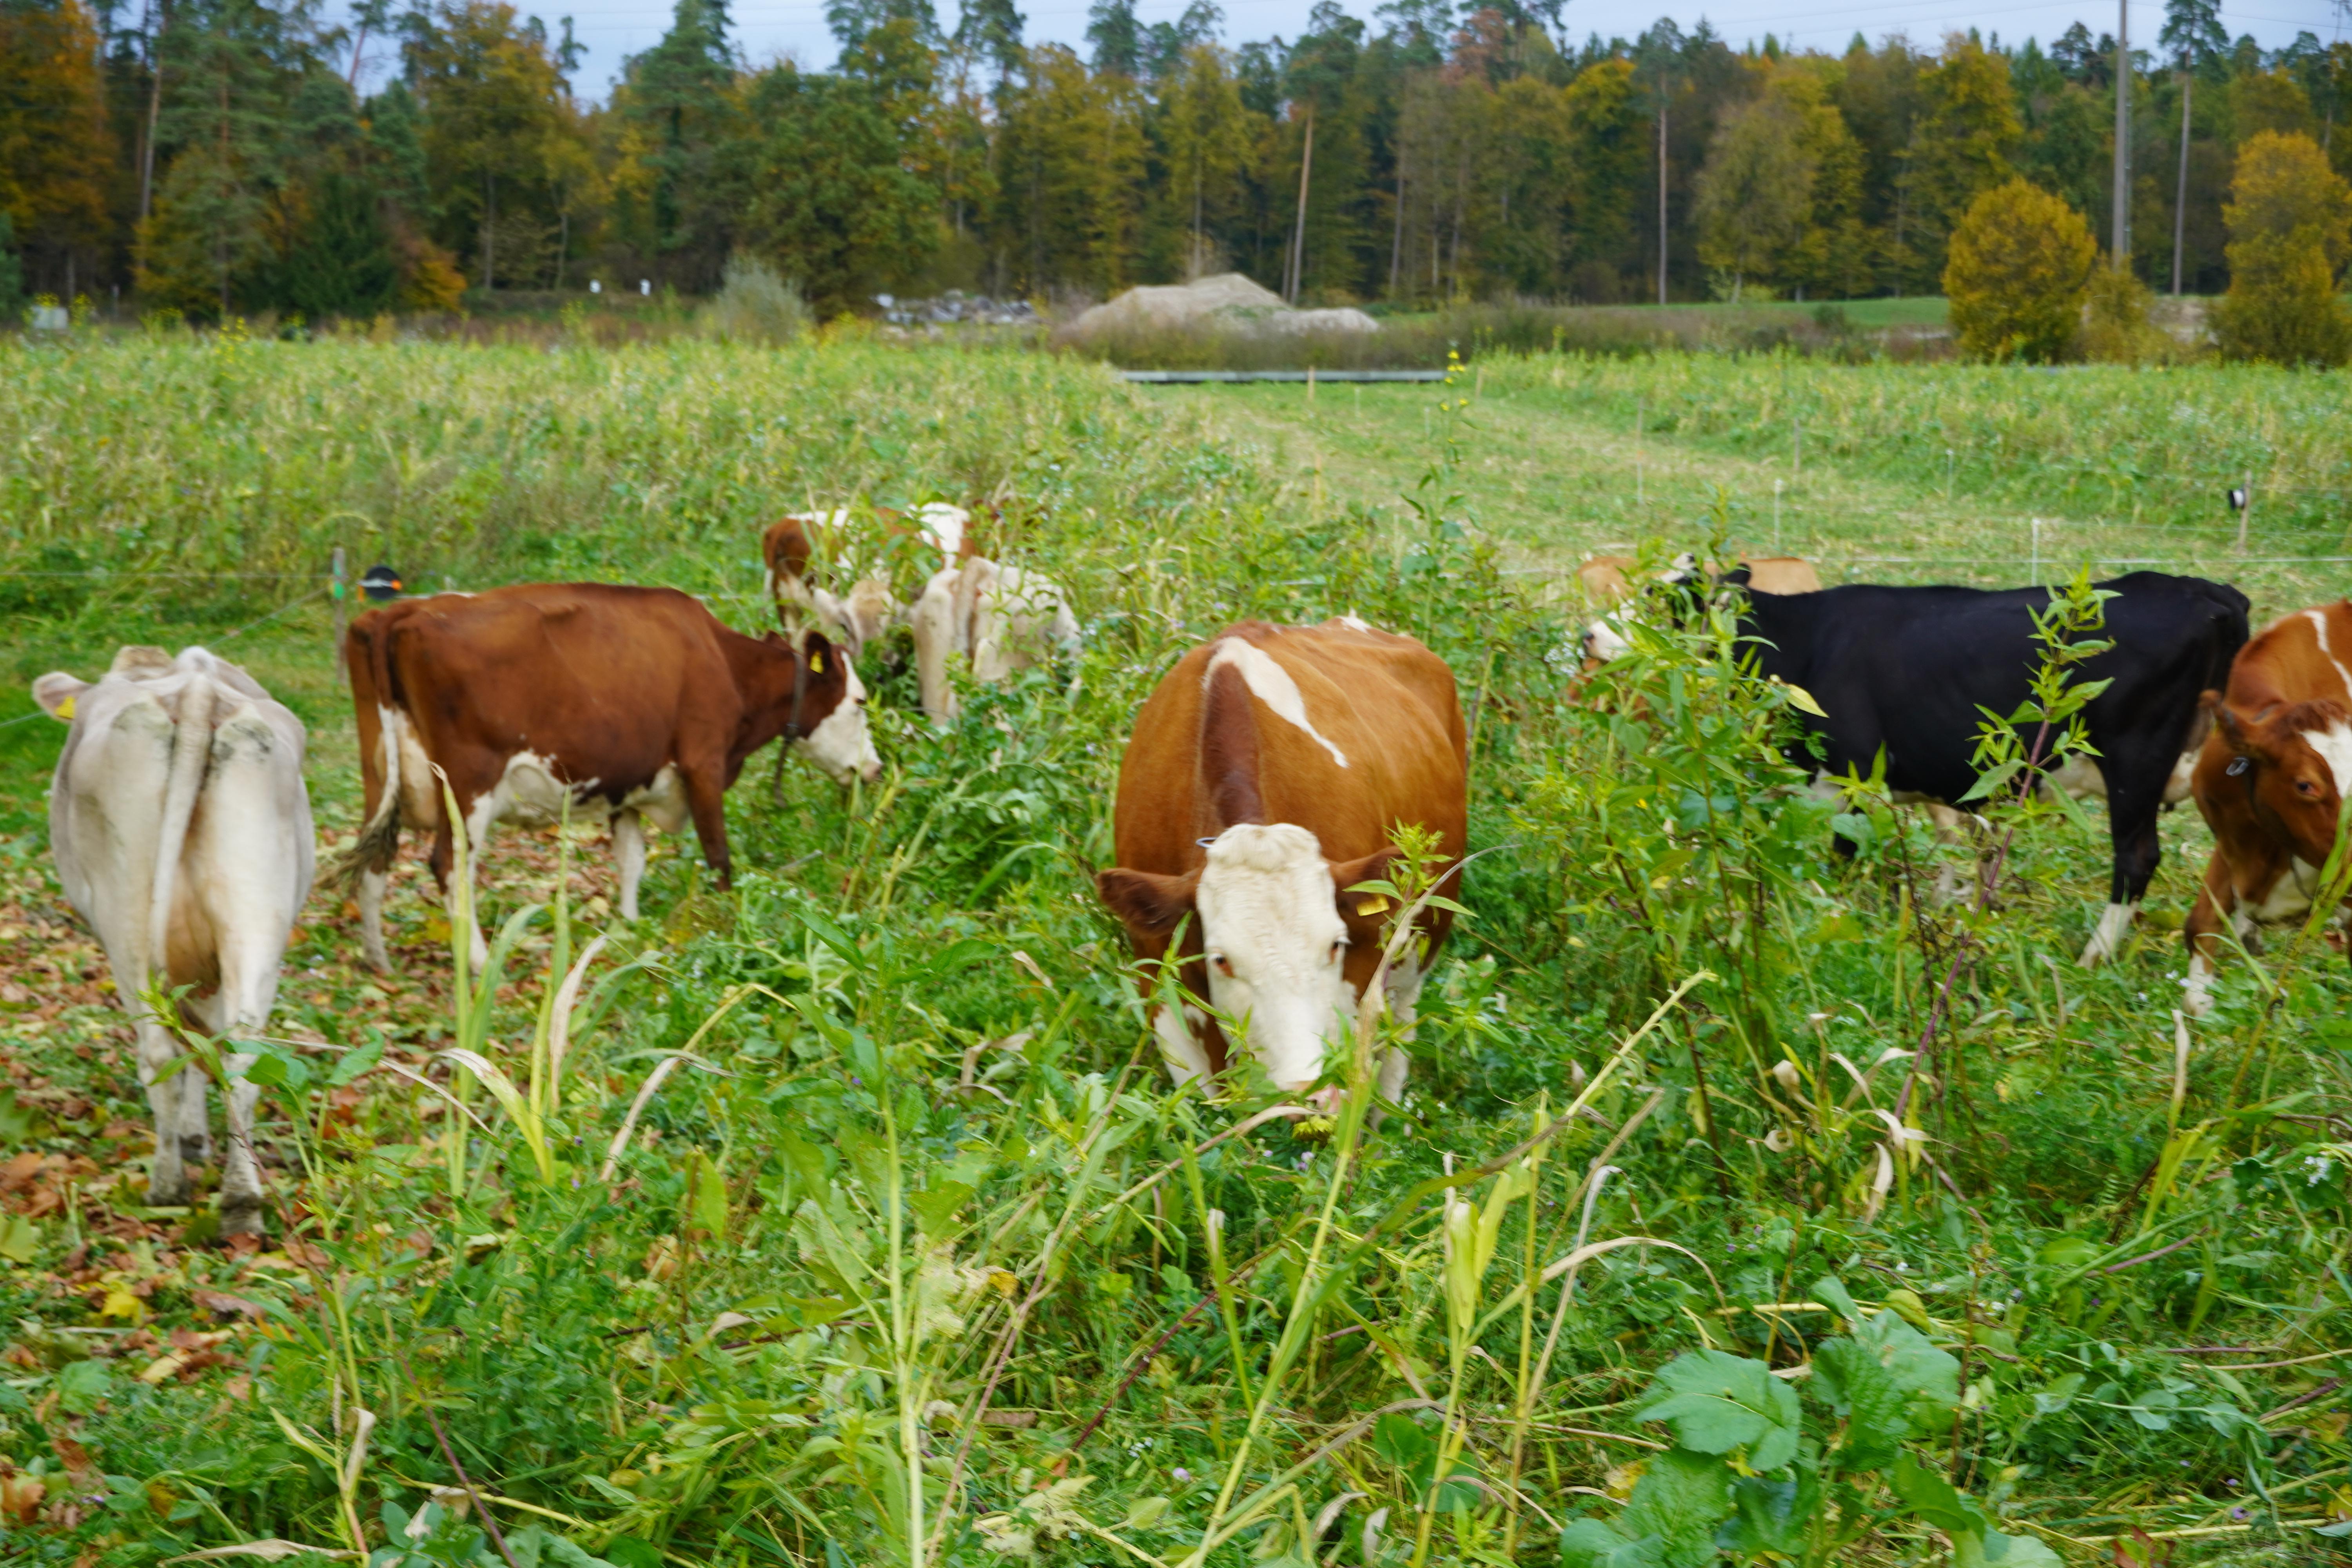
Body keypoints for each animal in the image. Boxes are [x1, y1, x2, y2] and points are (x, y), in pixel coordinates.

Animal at [32, 647, 314, 1230]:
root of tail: (195, 688)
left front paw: (189, 1139)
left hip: (126, 922)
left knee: (158, 1052)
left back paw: (166, 1188)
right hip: (257, 914)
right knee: (243, 1052)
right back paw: (242, 1201)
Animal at [342, 584, 880, 972]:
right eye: (860, 701)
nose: (873, 769)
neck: (726, 664)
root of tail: (402, 612)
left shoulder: (630, 784)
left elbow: (631, 861)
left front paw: (629, 929)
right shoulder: (703, 762)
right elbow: (719, 858)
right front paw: (730, 930)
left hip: (379, 775)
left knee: (374, 859)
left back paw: (378, 960)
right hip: (468, 780)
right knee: (450, 865)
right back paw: (478, 963)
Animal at [1722, 572, 2248, 965]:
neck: (1806, 642)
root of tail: (2209, 592)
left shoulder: (1850, 775)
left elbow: (1845, 856)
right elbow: (1955, 840)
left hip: (2136, 765)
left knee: (2138, 858)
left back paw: (2093, 957)